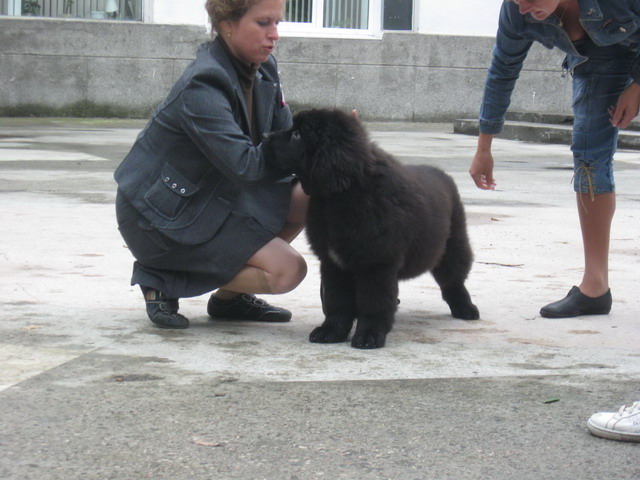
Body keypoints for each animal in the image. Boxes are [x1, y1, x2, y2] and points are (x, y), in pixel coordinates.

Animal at [263, 109, 479, 349]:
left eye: (297, 135)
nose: (264, 137)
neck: (342, 195)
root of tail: (442, 174)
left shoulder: (376, 263)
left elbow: (374, 303)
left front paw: (369, 335)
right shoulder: (334, 264)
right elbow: (337, 303)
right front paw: (331, 331)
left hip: (453, 243)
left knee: (453, 280)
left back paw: (465, 309)